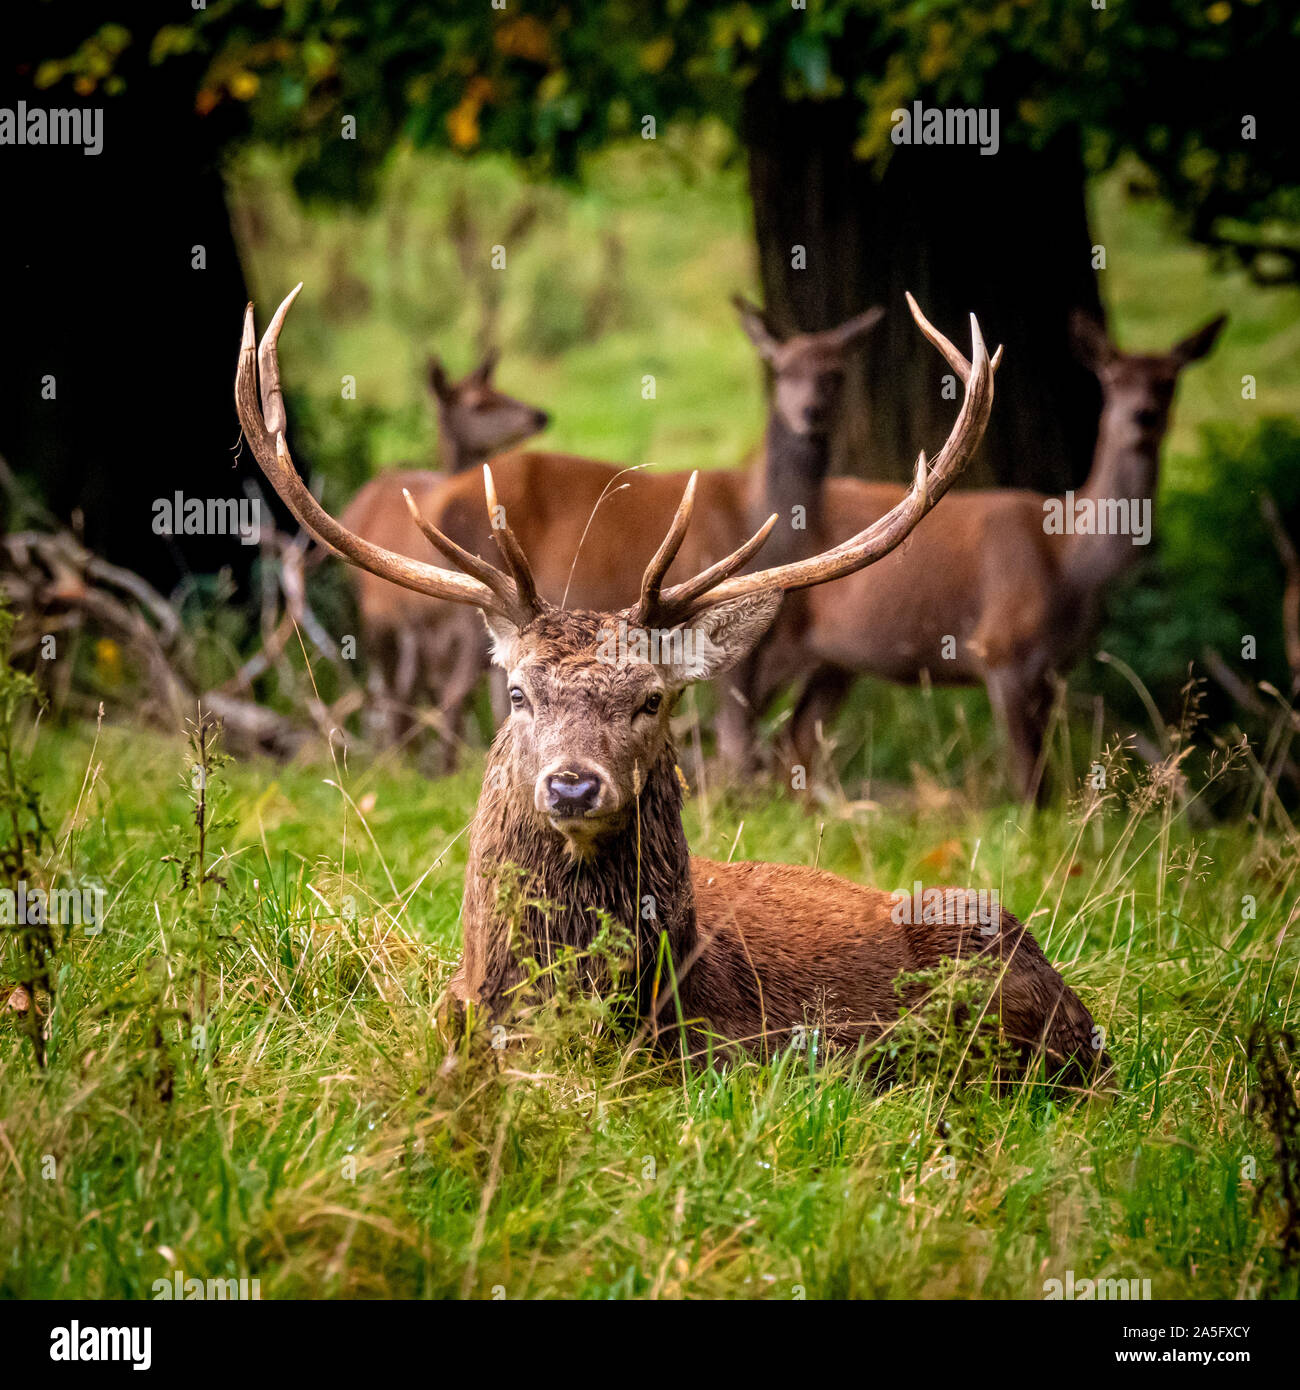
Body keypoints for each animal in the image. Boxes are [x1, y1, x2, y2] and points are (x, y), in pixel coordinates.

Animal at [739, 298, 1223, 800]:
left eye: (1169, 380)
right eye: (1112, 379)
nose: (1142, 417)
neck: (1070, 564)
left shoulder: (1055, 671)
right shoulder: (1001, 651)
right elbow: (1030, 785)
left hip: (836, 663)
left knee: (792, 745)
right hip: (773, 648)